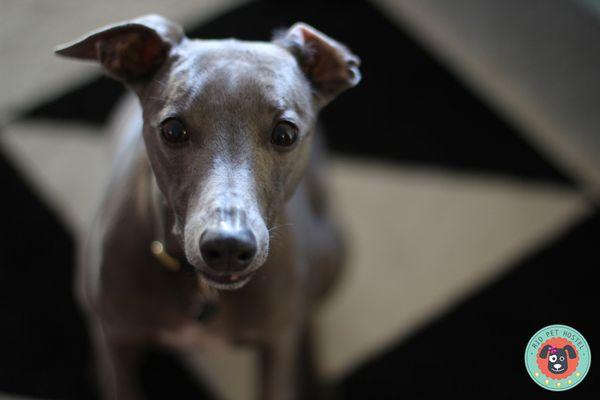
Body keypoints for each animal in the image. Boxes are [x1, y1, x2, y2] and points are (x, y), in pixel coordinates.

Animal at [57, 14, 360, 398]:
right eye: (173, 130)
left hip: (332, 253)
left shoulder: (275, 347)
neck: (200, 288)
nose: (228, 246)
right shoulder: (118, 338)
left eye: (285, 134)